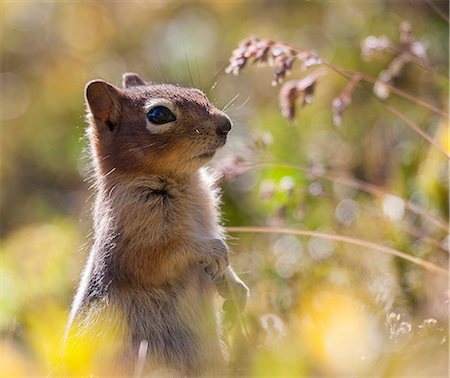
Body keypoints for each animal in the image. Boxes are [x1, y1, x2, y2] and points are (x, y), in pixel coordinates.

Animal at [66, 73, 250, 376]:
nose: (226, 124)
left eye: (199, 93)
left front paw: (236, 288)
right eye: (159, 114)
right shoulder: (133, 237)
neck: (184, 181)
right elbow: (161, 256)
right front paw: (215, 252)